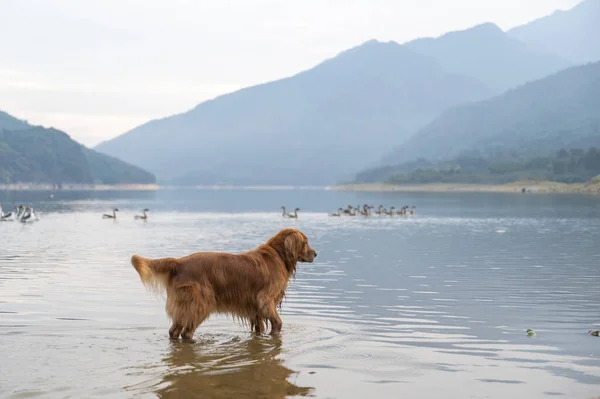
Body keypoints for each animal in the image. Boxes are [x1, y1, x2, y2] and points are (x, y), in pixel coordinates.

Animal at [131, 230, 316, 340]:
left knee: (174, 331)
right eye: (305, 242)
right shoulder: (265, 299)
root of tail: (179, 262)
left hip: (184, 306)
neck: (278, 255)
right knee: (186, 333)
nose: (315, 253)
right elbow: (277, 322)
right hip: (201, 304)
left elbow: (259, 327)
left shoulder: (255, 308)